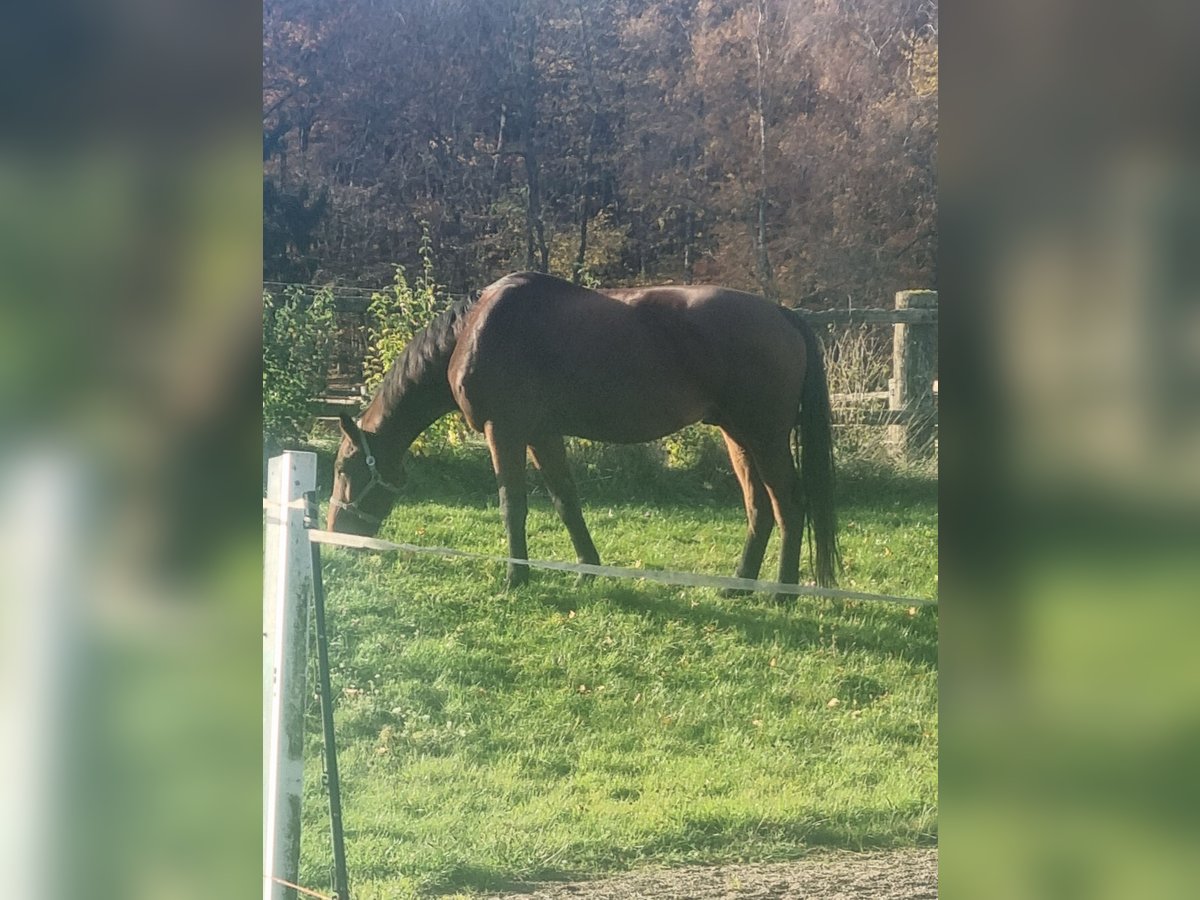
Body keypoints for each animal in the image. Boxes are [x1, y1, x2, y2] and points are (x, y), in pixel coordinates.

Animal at [328, 271, 840, 591]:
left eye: (344, 468)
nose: (336, 536)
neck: (473, 330)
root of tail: (783, 315)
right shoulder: (542, 434)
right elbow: (566, 502)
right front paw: (587, 570)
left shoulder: (504, 431)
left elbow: (512, 504)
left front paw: (516, 577)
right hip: (739, 437)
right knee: (760, 509)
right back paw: (739, 586)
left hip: (766, 436)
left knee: (790, 505)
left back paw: (783, 591)